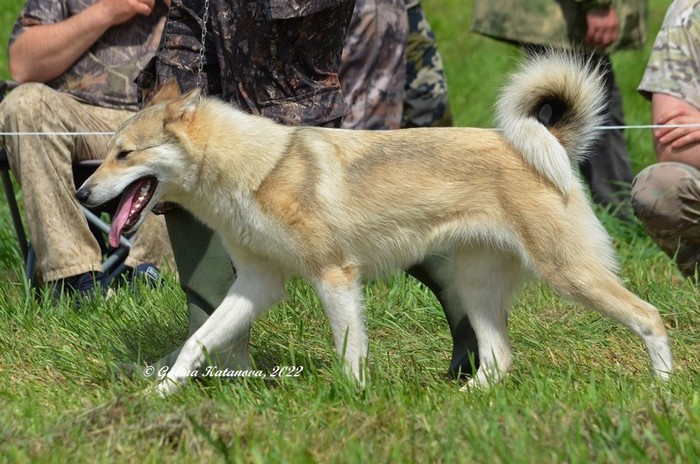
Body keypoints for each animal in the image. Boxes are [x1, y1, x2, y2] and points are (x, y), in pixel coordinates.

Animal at [76, 52, 672, 396]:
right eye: (109, 152)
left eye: (124, 154)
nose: (81, 192)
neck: (256, 169)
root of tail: (549, 142)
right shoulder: (256, 285)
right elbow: (197, 343)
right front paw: (158, 396)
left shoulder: (334, 276)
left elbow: (350, 352)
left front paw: (355, 401)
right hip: (476, 287)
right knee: (499, 360)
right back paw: (462, 402)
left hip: (569, 274)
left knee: (649, 317)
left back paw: (664, 389)